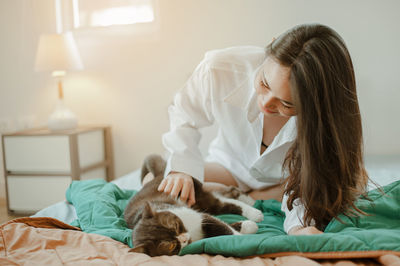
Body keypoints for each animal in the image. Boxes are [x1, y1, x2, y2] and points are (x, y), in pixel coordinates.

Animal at [123, 155, 264, 256]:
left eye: (175, 226)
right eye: (170, 246)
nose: (184, 238)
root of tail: (160, 176)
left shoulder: (193, 214)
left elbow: (219, 224)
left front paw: (245, 232)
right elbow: (220, 229)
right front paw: (246, 227)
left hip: (191, 189)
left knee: (220, 201)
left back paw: (253, 209)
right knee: (219, 202)